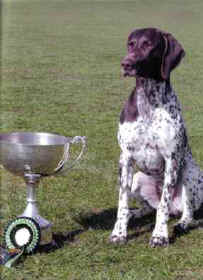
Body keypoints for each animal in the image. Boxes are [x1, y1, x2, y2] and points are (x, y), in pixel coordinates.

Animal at [110, 27, 203, 247]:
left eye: (149, 45)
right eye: (131, 44)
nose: (126, 64)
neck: (148, 100)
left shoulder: (172, 159)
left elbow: (163, 205)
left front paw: (160, 235)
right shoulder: (125, 158)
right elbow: (122, 201)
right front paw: (119, 232)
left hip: (192, 173)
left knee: (187, 212)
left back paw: (182, 223)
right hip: (137, 178)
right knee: (147, 208)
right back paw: (134, 214)